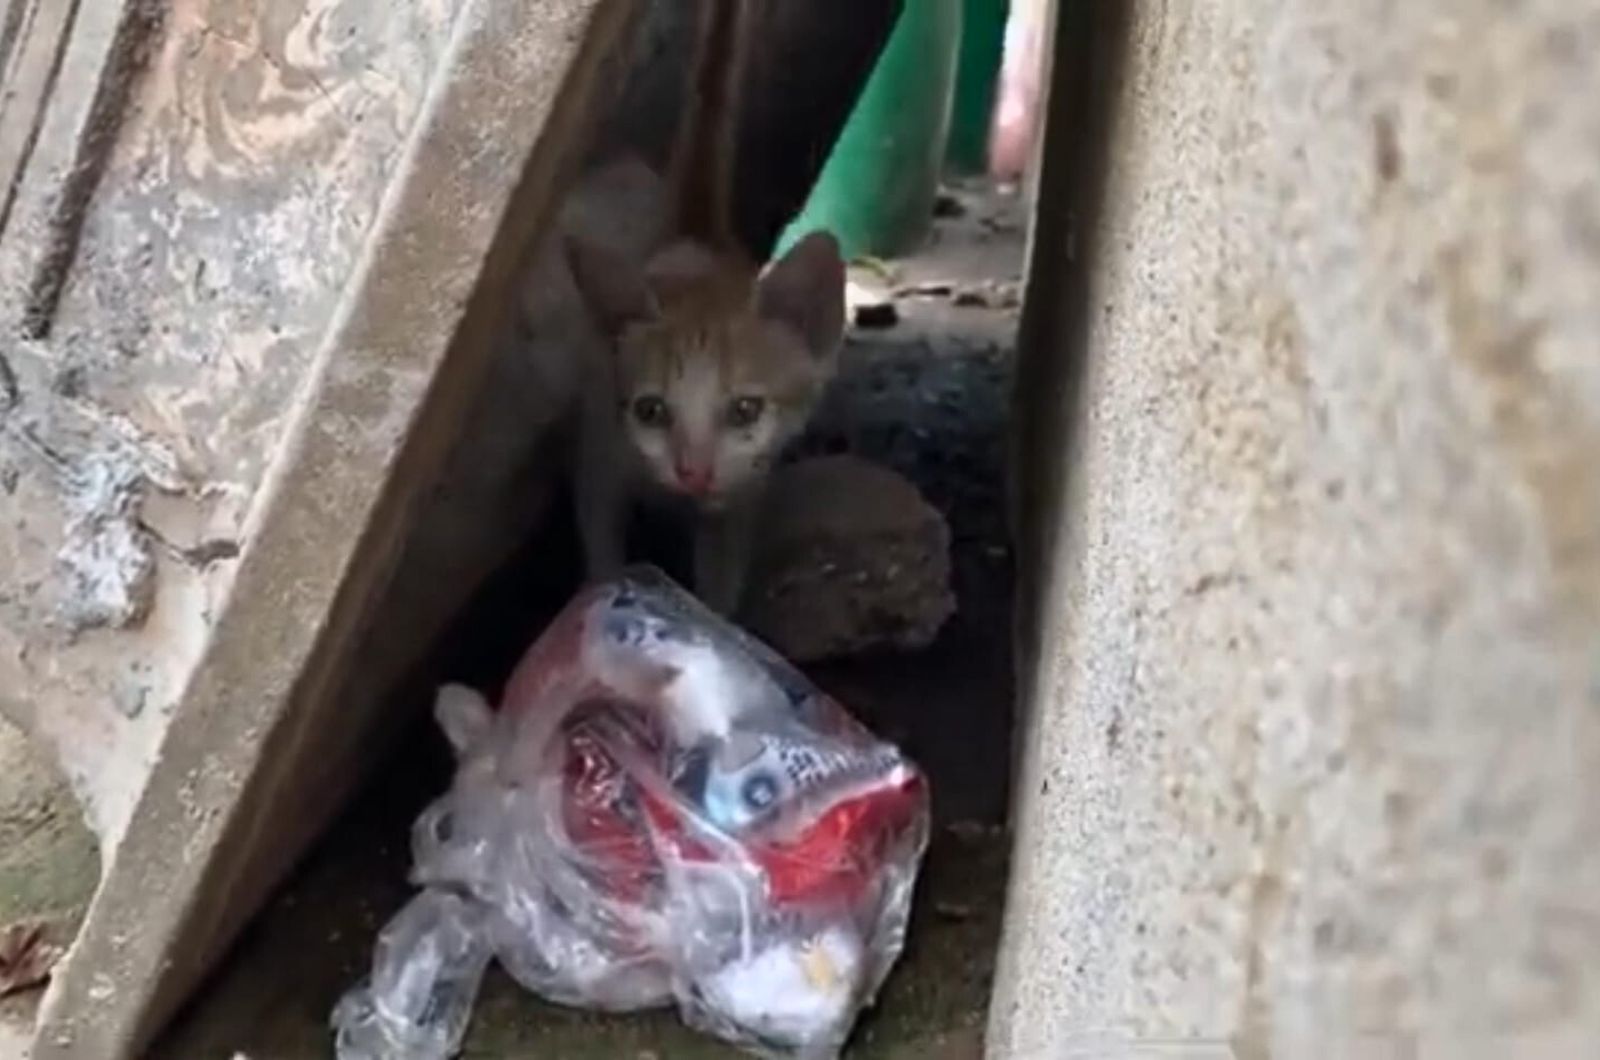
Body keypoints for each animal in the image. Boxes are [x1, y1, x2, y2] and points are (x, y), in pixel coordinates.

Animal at [560, 0, 851, 614]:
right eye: (651, 411)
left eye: (745, 410)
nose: (692, 471)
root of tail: (698, 240)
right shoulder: (601, 446)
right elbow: (599, 526)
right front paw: (604, 591)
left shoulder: (741, 493)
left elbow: (722, 571)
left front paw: (713, 618)